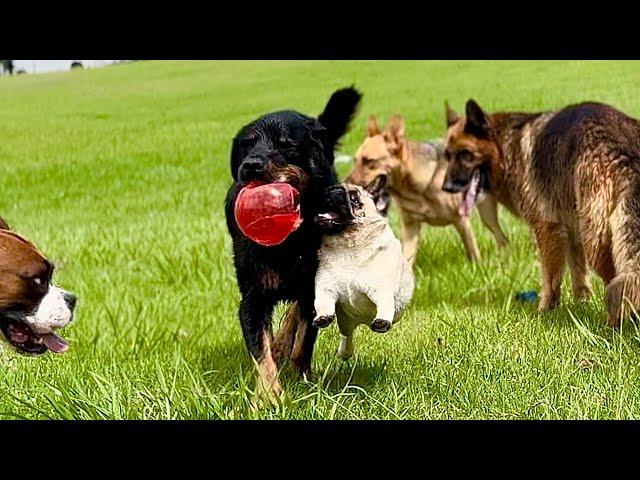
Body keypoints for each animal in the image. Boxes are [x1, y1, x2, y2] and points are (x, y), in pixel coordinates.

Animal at [225, 87, 360, 402]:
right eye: (247, 146)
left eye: (285, 145)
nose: (250, 166)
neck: (288, 240)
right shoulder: (252, 299)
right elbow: (261, 352)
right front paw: (268, 396)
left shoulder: (315, 290)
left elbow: (304, 341)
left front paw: (303, 378)